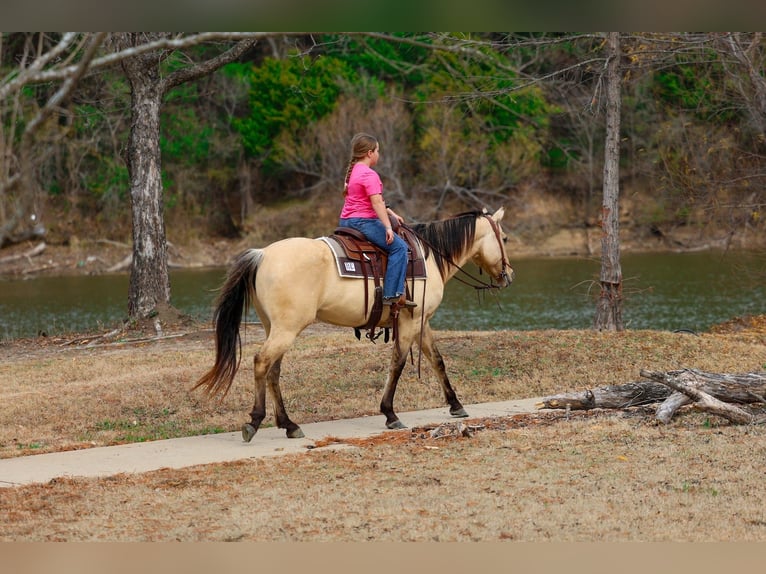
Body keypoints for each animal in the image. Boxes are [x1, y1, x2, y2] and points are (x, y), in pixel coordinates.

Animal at [194, 208, 514, 442]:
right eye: (505, 237)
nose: (508, 275)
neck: (429, 256)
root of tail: (262, 254)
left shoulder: (421, 322)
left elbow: (437, 361)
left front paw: (456, 405)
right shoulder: (410, 322)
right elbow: (397, 364)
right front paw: (390, 414)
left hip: (275, 327)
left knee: (273, 371)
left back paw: (289, 424)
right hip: (286, 329)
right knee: (262, 362)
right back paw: (255, 421)